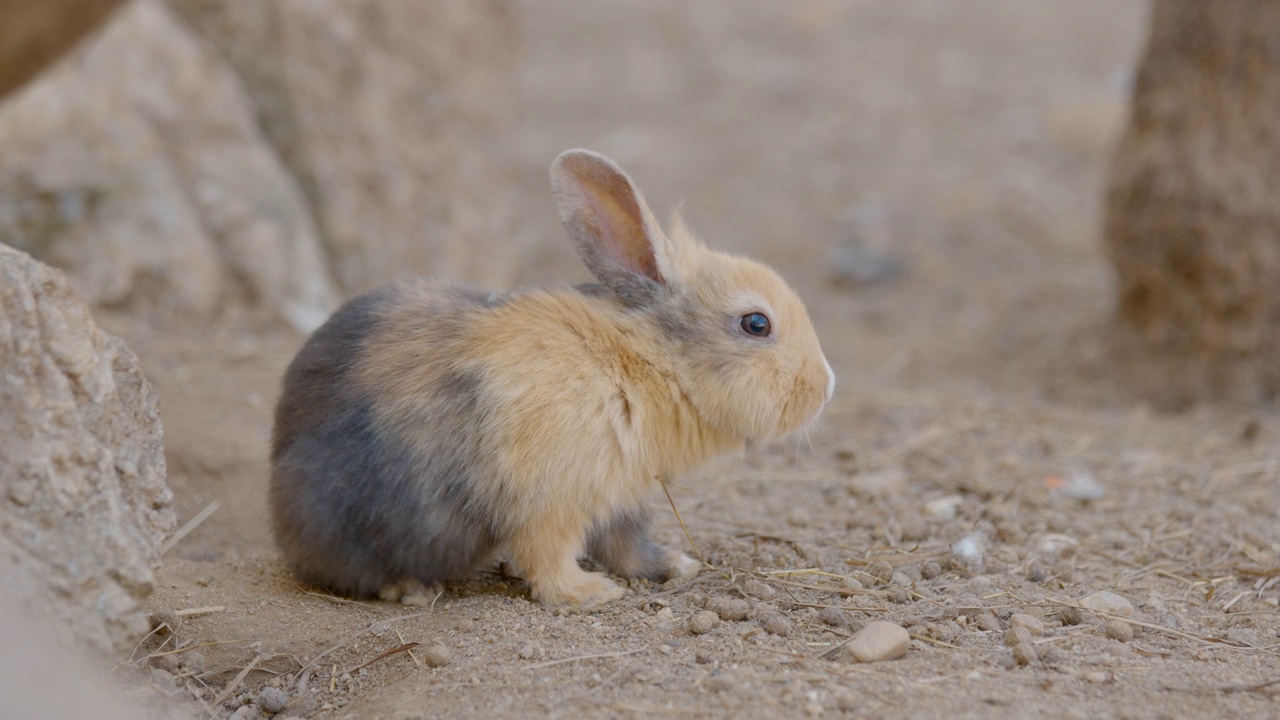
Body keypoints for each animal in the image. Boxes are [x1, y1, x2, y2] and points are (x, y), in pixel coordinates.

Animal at [270, 149, 834, 604]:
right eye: (756, 324)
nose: (827, 387)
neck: (644, 361)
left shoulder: (621, 499)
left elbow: (627, 546)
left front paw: (674, 565)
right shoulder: (551, 504)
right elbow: (549, 557)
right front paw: (589, 594)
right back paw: (410, 589)